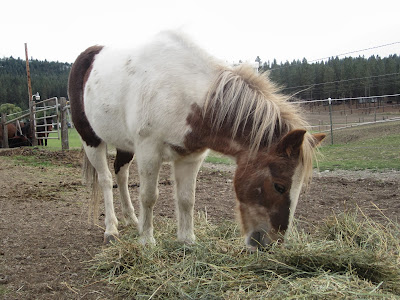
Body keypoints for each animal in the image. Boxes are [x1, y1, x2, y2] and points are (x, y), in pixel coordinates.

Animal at [69, 31, 324, 250]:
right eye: (279, 186)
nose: (270, 243)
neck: (187, 95)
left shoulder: (191, 157)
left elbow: (186, 199)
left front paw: (187, 240)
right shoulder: (149, 151)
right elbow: (149, 197)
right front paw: (147, 241)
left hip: (124, 144)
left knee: (121, 174)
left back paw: (132, 219)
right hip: (91, 140)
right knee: (105, 179)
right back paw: (111, 229)